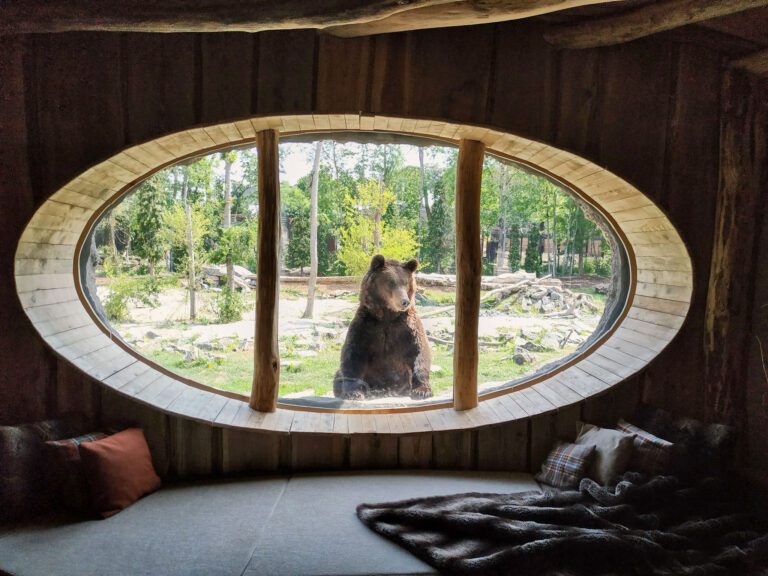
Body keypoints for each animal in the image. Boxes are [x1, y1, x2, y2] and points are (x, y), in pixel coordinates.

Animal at [332, 256, 432, 400]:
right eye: (391, 282)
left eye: (406, 282)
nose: (405, 301)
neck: (388, 315)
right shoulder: (366, 325)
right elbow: (353, 353)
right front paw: (353, 392)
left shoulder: (406, 327)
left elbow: (419, 350)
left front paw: (422, 391)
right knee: (338, 375)